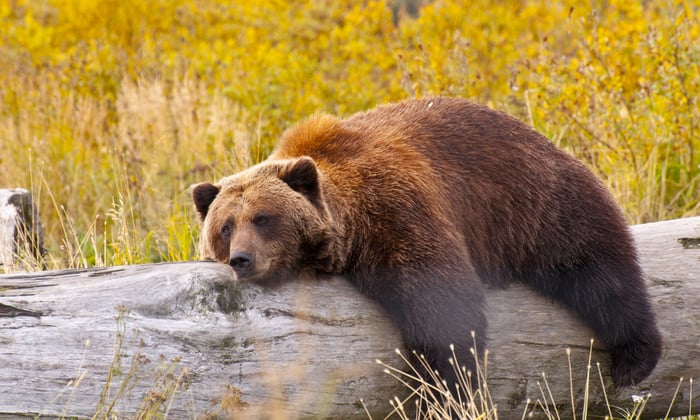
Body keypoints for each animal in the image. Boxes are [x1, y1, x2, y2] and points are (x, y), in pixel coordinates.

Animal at [192, 97, 662, 392]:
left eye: (262, 217)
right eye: (225, 227)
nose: (242, 258)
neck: (350, 228)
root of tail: (540, 137)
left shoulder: (395, 210)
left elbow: (442, 302)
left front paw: (448, 386)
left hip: (536, 202)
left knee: (597, 268)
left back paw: (635, 358)